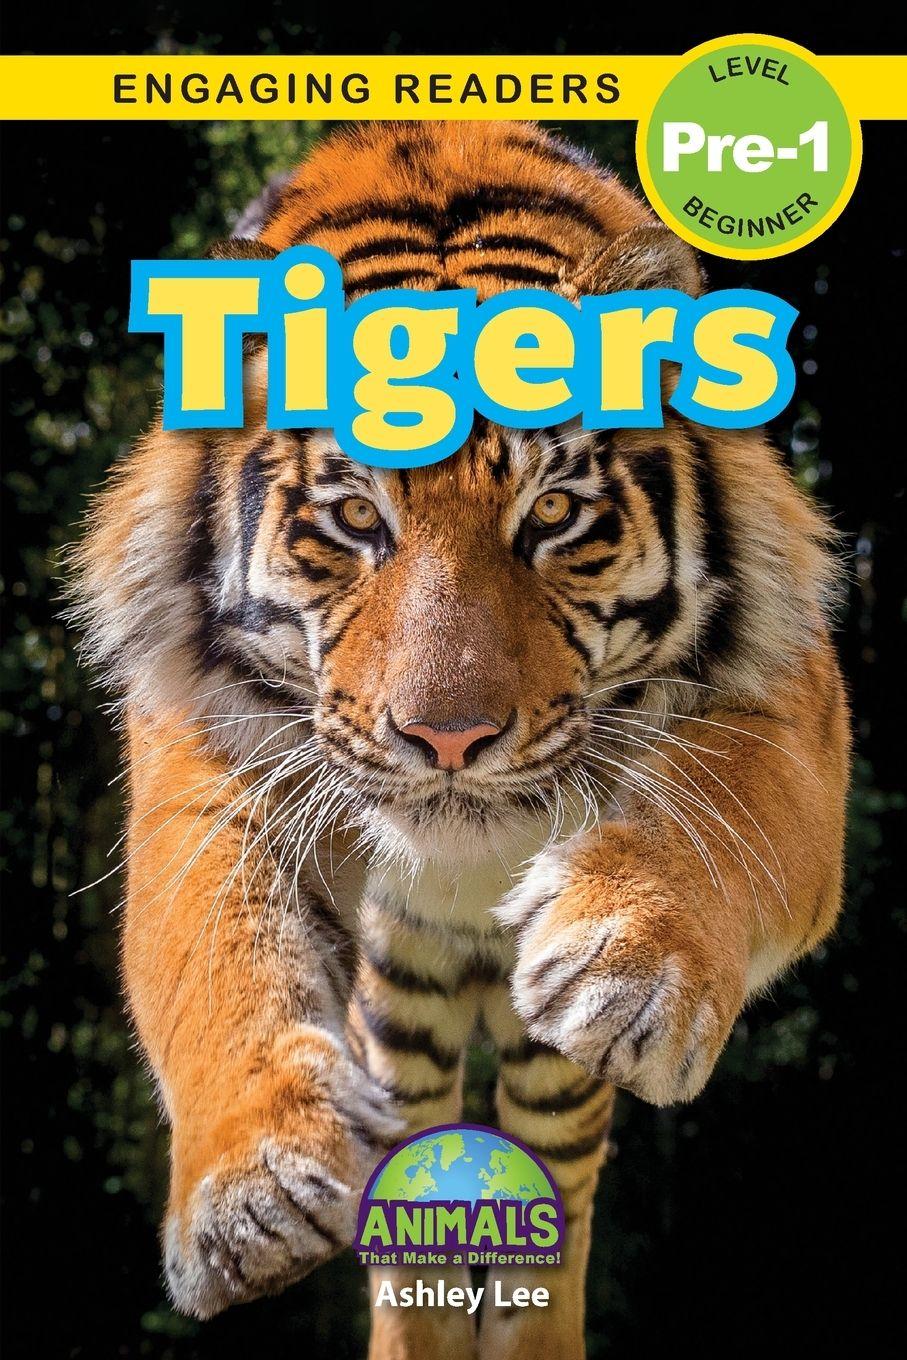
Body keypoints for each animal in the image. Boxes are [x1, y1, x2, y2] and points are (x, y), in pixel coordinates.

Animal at [71, 121, 849, 1360]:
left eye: (554, 515)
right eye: (352, 517)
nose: (447, 735)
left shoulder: (794, 700)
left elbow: (736, 811)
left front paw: (630, 952)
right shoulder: (196, 747)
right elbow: (208, 950)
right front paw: (252, 1190)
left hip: (547, 1080)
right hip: (402, 1014)